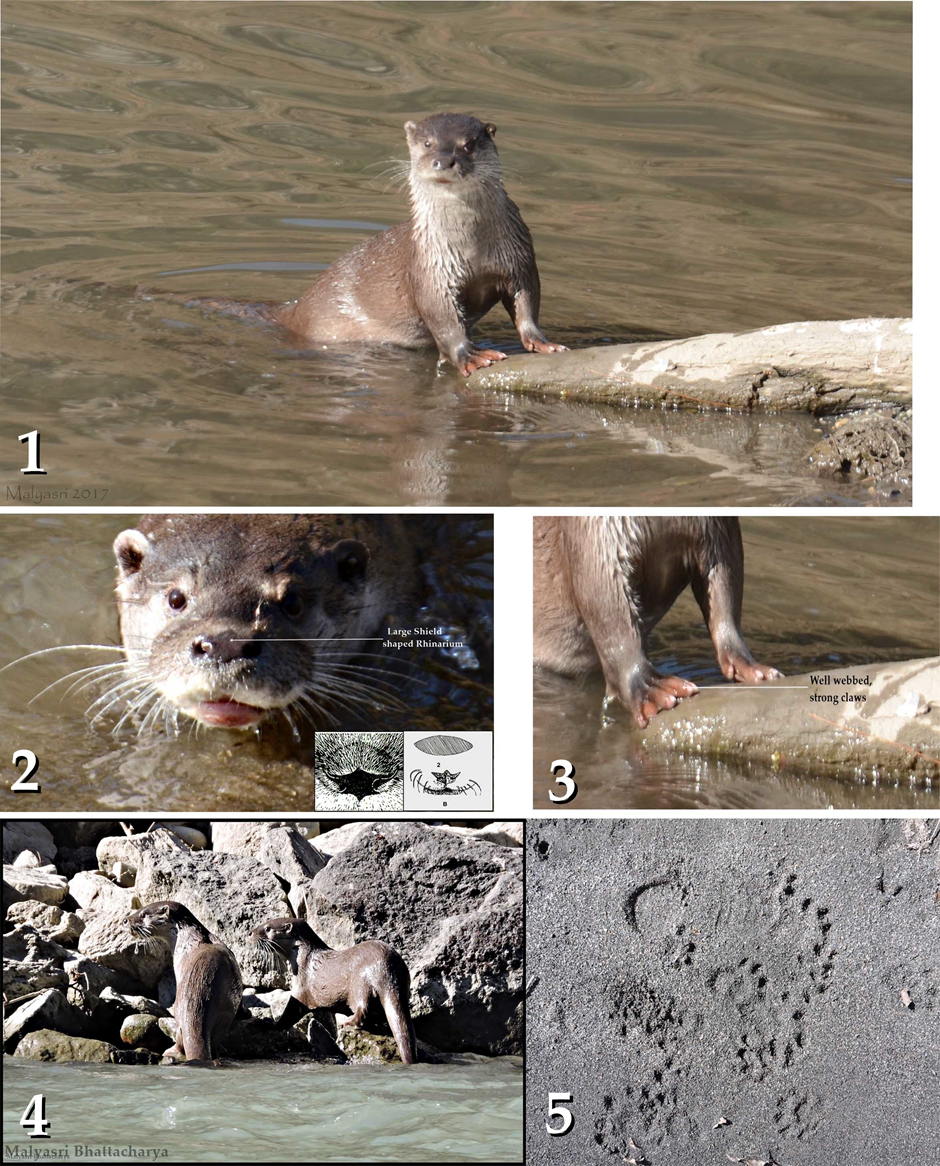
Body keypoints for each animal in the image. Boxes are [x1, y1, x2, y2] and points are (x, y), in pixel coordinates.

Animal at [124, 900, 242, 1068]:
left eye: (143, 914)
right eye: (139, 909)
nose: (125, 920)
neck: (185, 938)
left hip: (179, 1010)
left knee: (181, 1038)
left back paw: (170, 1051)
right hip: (226, 1012)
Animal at [190, 111, 566, 375]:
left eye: (468, 144)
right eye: (427, 143)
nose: (444, 159)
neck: (472, 247)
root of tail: (295, 308)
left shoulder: (519, 256)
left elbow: (527, 300)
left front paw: (542, 342)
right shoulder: (429, 270)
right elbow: (442, 318)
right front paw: (471, 356)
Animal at [255, 918, 422, 1068]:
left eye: (267, 928)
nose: (251, 932)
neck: (304, 959)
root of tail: (387, 969)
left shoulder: (300, 989)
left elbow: (289, 1015)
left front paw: (270, 1024)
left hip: (360, 983)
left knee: (363, 1008)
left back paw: (348, 1022)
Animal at [534, 517, 783, 722]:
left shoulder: (716, 527)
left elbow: (725, 578)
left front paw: (749, 665)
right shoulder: (597, 533)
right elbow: (607, 607)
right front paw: (651, 688)